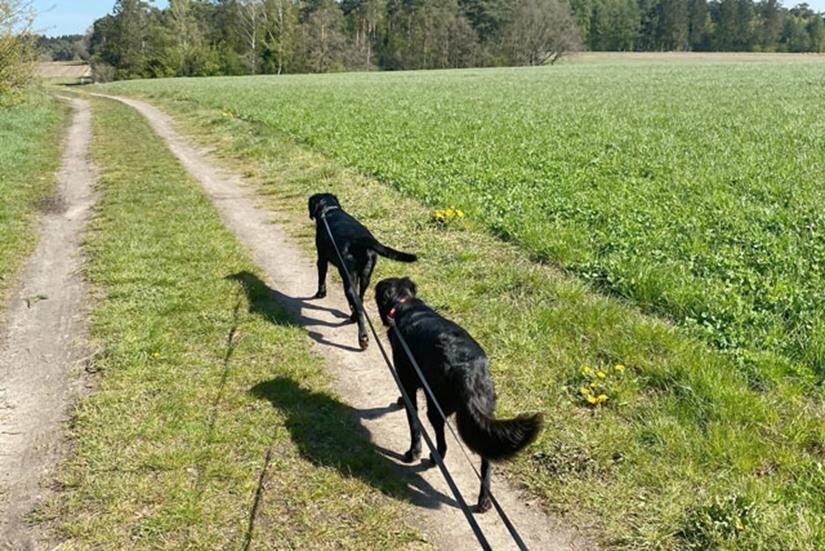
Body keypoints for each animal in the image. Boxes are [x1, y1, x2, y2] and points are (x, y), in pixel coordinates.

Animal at [309, 193, 417, 350]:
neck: (329, 210)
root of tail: (361, 240)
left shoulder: (322, 258)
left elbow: (321, 278)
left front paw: (320, 294)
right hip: (365, 277)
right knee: (360, 300)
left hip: (348, 279)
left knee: (359, 308)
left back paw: (362, 337)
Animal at [375, 277, 543, 512]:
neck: (405, 304)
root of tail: (469, 370)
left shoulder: (408, 382)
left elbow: (414, 425)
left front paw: (412, 453)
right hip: (483, 412)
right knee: (486, 460)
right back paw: (484, 500)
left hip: (436, 407)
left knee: (442, 443)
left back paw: (433, 459)